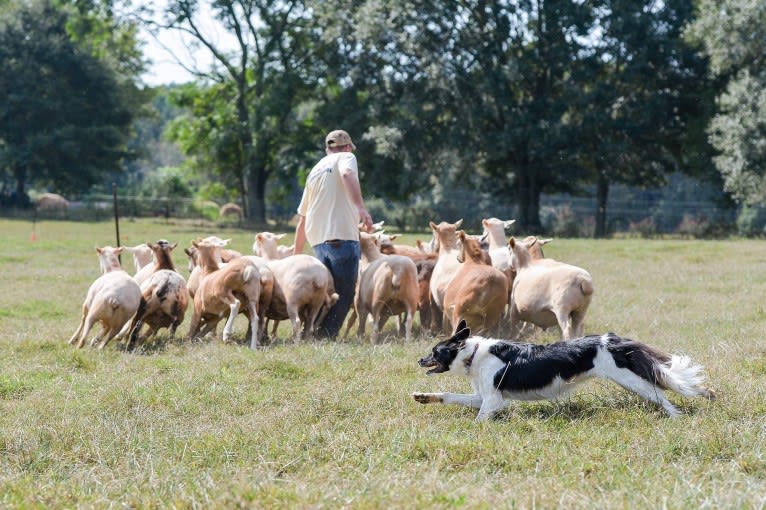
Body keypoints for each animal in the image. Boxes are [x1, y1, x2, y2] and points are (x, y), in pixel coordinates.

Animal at [416, 320, 716, 420]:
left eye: (435, 352)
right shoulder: (482, 397)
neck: (474, 354)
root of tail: (614, 339)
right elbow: (448, 395)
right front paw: (423, 396)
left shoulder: (493, 400)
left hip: (632, 380)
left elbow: (479, 419)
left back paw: (676, 418)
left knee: (662, 396)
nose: (419, 360)